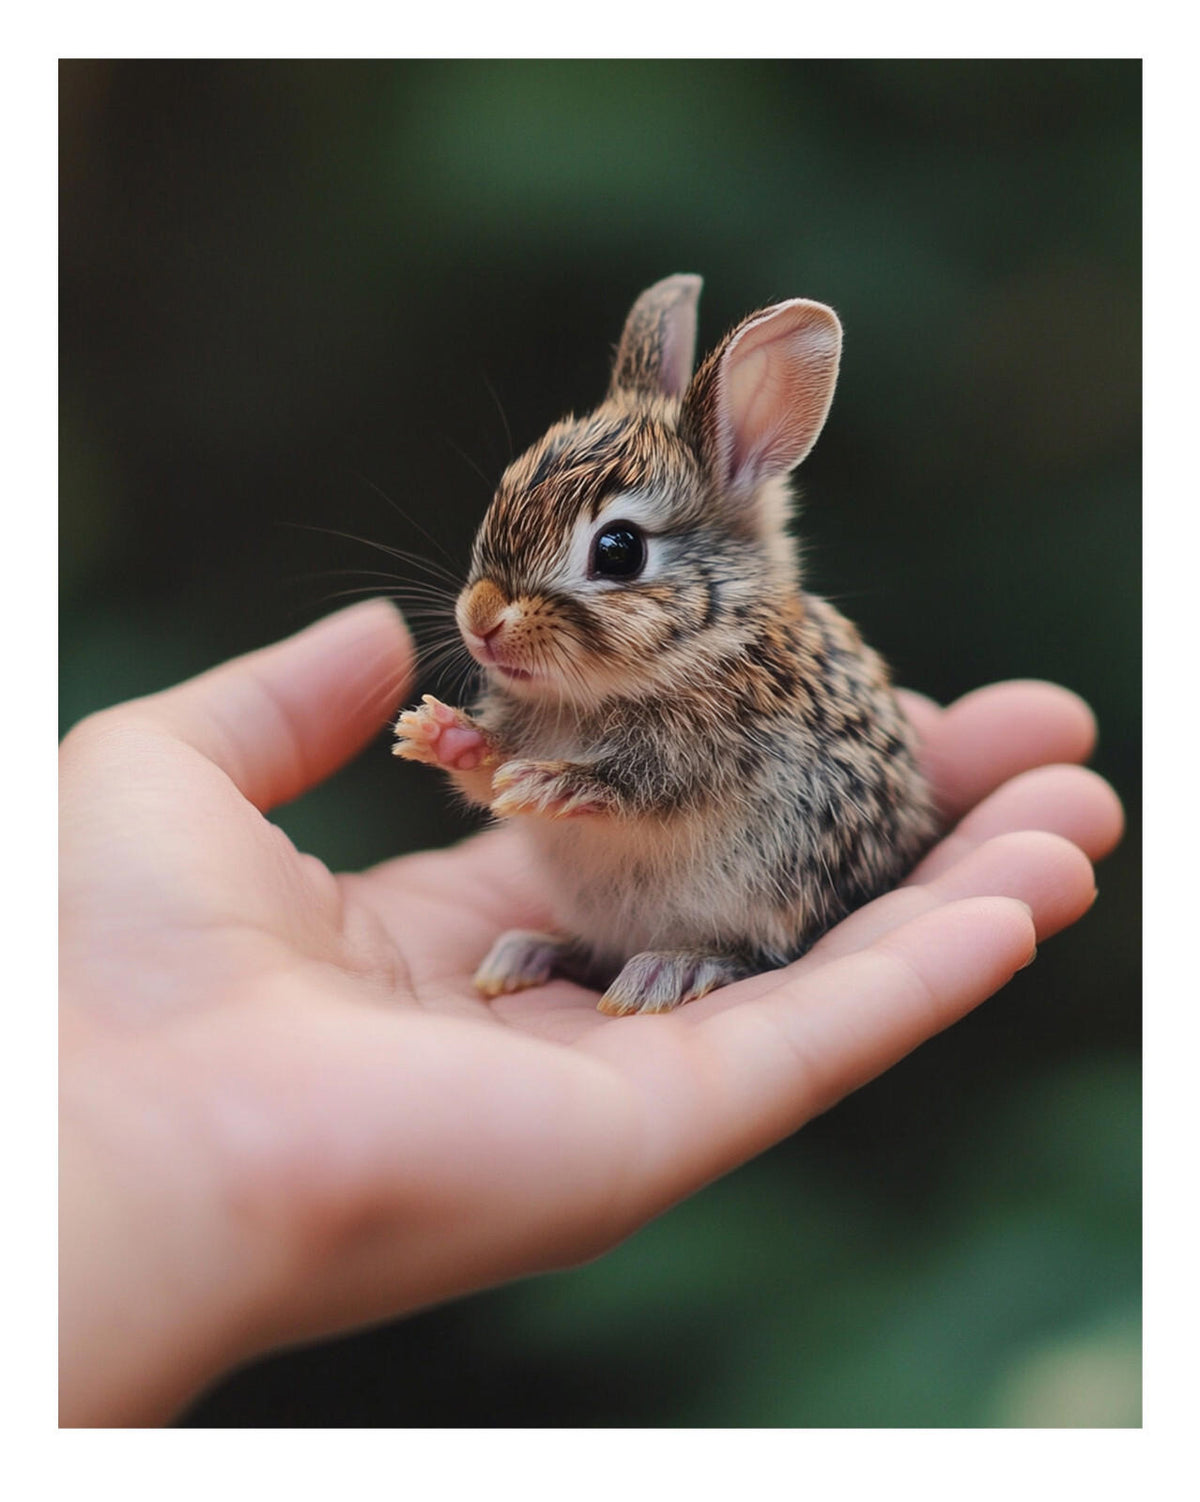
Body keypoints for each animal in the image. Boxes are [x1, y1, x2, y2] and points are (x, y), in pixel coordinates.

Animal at [393, 274, 939, 1016]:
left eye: (619, 551)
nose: (481, 622)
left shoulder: (713, 760)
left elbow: (635, 790)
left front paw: (547, 781)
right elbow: (486, 771)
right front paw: (437, 734)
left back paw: (670, 969)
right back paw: (527, 953)